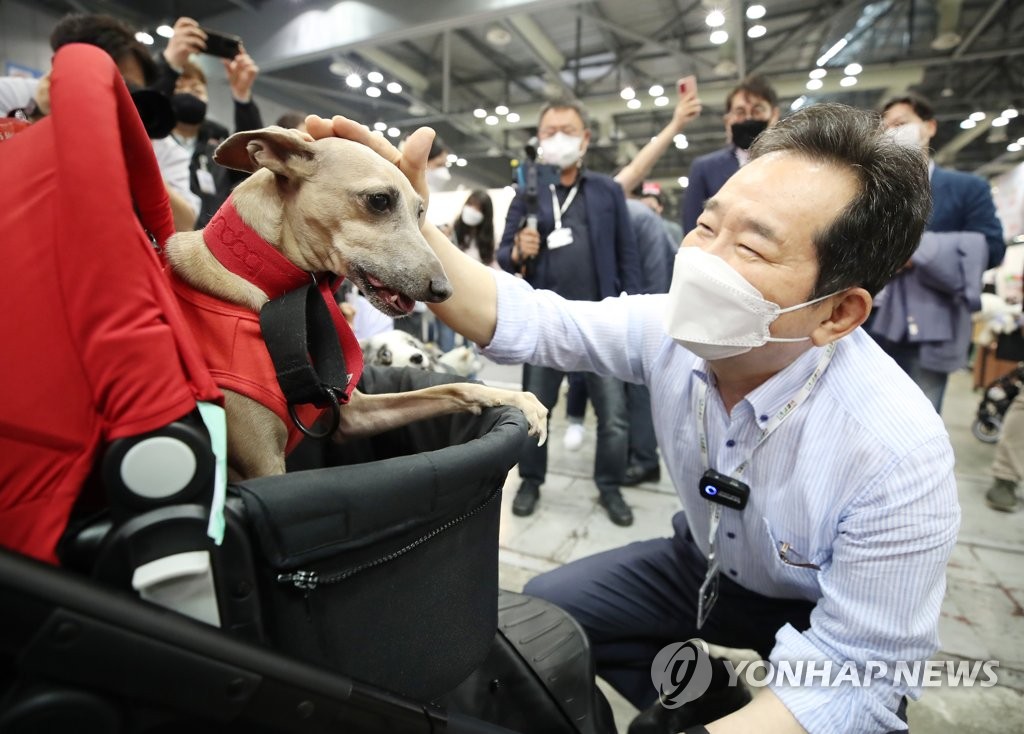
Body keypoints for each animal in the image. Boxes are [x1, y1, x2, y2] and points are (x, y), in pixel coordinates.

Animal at [166, 125, 548, 481]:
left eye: (420, 211)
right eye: (379, 200)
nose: (444, 290)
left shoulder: (353, 416)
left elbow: (452, 387)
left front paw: (515, 398)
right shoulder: (262, 465)